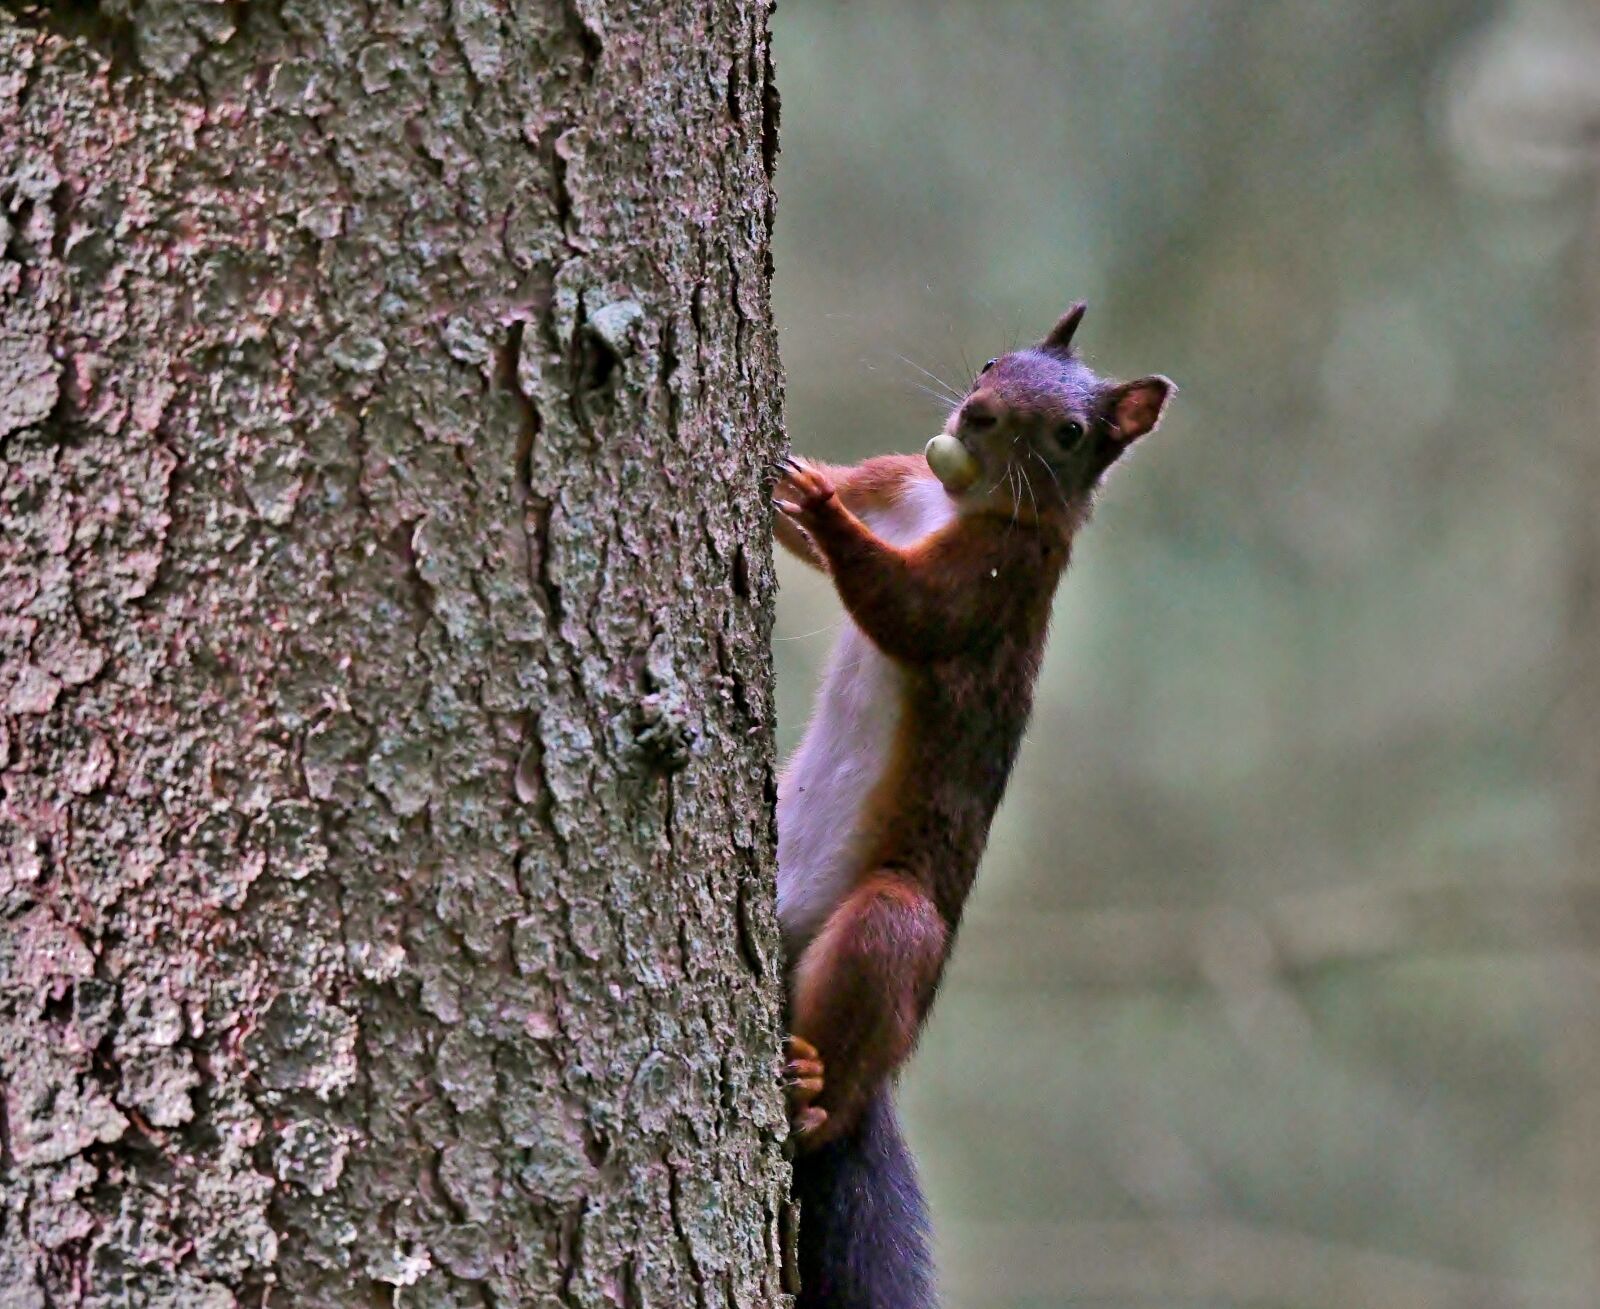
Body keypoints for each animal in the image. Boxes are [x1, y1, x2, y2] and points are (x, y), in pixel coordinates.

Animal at [772, 303, 1174, 1309]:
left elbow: (911, 610)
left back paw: (812, 1085)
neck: (956, 501)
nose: (977, 414)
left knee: (865, 998)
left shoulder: (999, 581)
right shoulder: (898, 479)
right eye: (994, 360)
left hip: (895, 922)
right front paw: (790, 479)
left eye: (1069, 433)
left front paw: (822, 507)